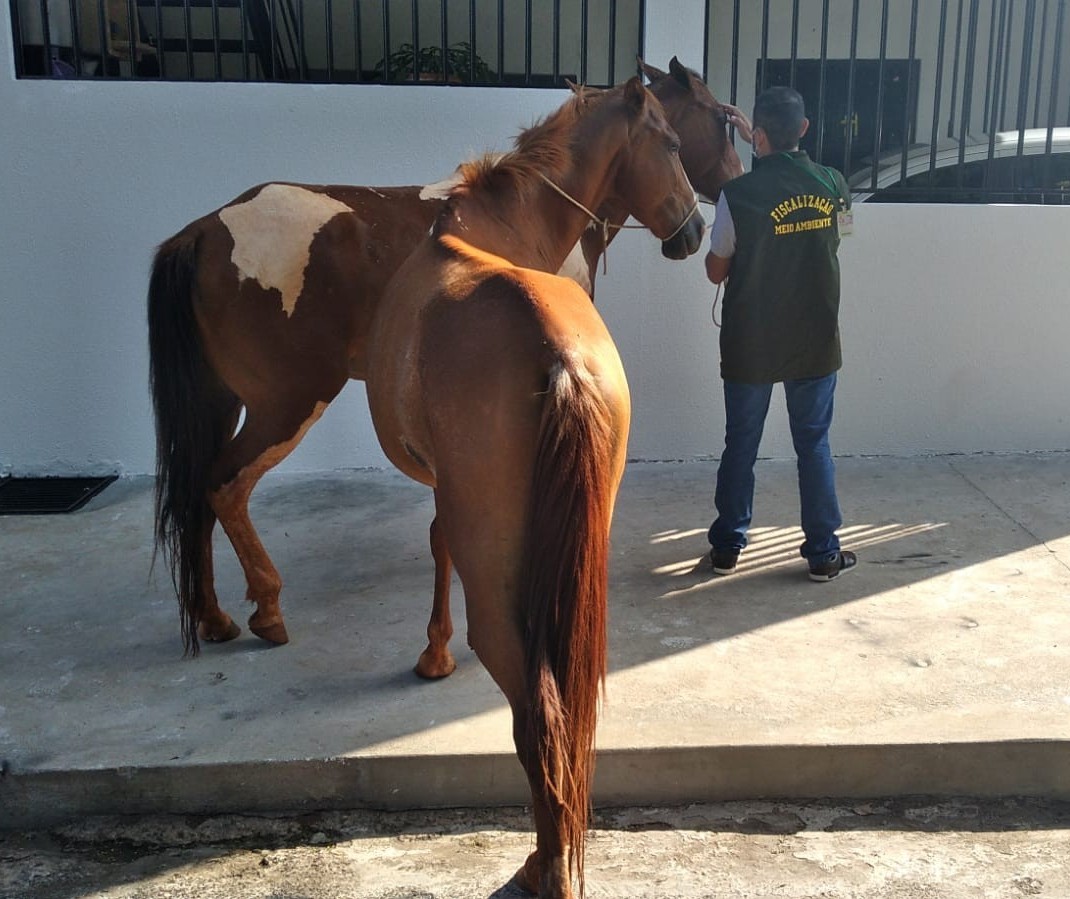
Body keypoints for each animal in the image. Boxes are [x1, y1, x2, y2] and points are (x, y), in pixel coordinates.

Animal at [146, 58, 740, 659]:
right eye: (714, 122)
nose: (698, 230)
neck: (520, 219)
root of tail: (203, 231)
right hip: (287, 404)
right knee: (225, 486)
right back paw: (266, 607)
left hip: (220, 403)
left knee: (195, 491)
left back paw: (213, 616)